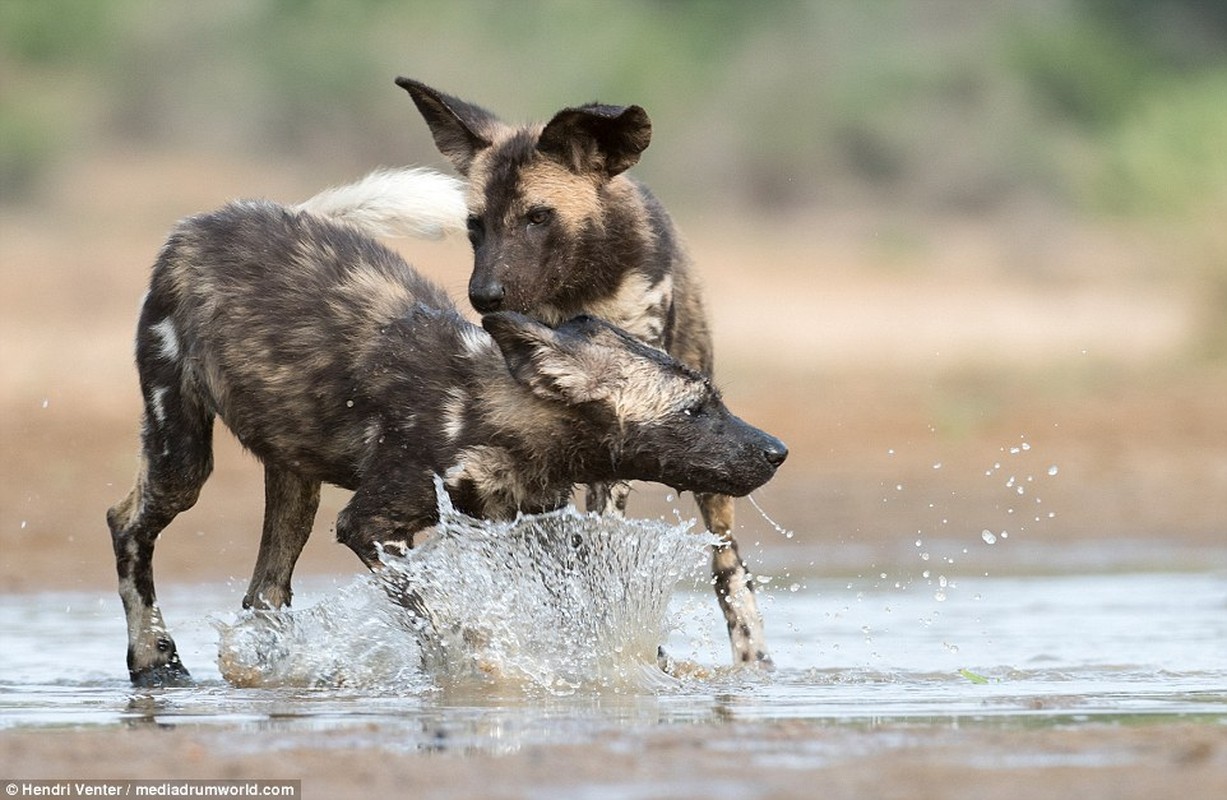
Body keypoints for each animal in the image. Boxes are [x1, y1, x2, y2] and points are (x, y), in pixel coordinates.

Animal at [110, 165, 790, 682]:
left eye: (714, 398)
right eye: (694, 410)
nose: (777, 451)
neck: (494, 411)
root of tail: (202, 223)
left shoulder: (532, 530)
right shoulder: (370, 527)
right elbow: (435, 615)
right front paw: (470, 663)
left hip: (295, 480)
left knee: (265, 594)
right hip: (181, 457)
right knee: (127, 524)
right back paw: (153, 658)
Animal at [395, 79, 775, 667]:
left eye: (538, 217)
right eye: (475, 224)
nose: (484, 296)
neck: (573, 294)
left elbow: (602, 540)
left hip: (715, 486)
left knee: (729, 568)